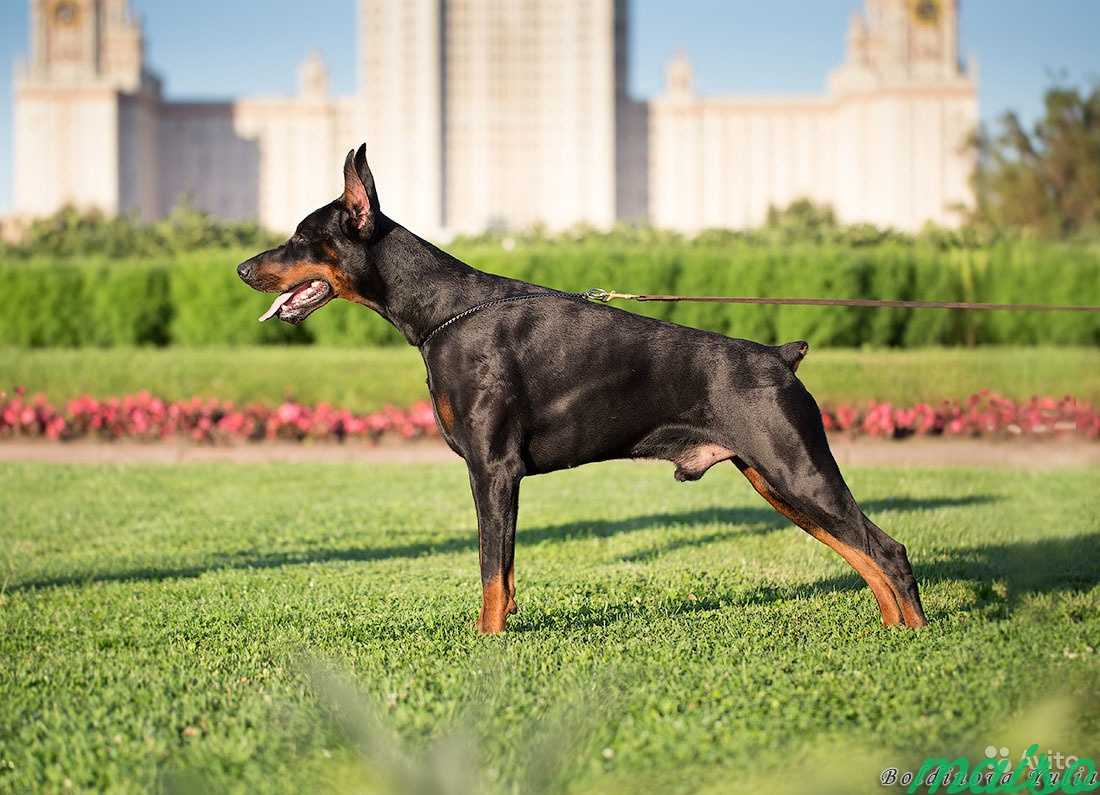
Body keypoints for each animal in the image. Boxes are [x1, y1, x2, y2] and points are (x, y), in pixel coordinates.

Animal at [238, 145, 928, 633]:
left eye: (300, 237)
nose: (242, 268)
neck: (442, 311)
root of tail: (781, 358)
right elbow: (503, 573)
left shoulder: (494, 468)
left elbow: (492, 571)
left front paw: (489, 644)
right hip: (773, 480)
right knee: (863, 553)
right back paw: (892, 632)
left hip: (795, 468)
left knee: (887, 549)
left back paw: (916, 638)